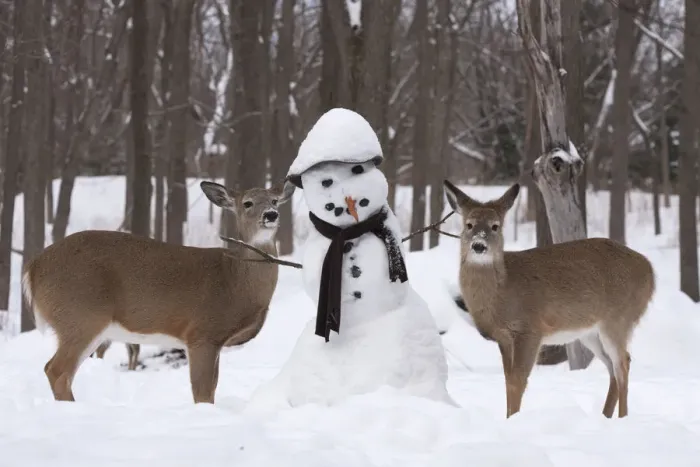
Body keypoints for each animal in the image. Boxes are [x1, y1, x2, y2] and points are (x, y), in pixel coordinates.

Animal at [22, 180, 294, 404]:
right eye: (247, 203)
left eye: (274, 200)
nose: (271, 215)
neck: (234, 280)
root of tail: (32, 269)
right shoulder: (202, 333)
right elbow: (202, 393)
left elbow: (212, 390)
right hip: (80, 315)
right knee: (57, 370)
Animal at [443, 180, 655, 419]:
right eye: (469, 225)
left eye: (495, 226)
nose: (479, 245)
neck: (503, 293)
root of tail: (650, 270)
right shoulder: (503, 338)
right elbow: (507, 381)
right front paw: (508, 418)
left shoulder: (530, 329)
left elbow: (518, 381)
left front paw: (513, 419)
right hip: (590, 332)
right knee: (612, 368)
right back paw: (605, 416)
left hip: (619, 318)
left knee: (623, 363)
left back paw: (622, 417)